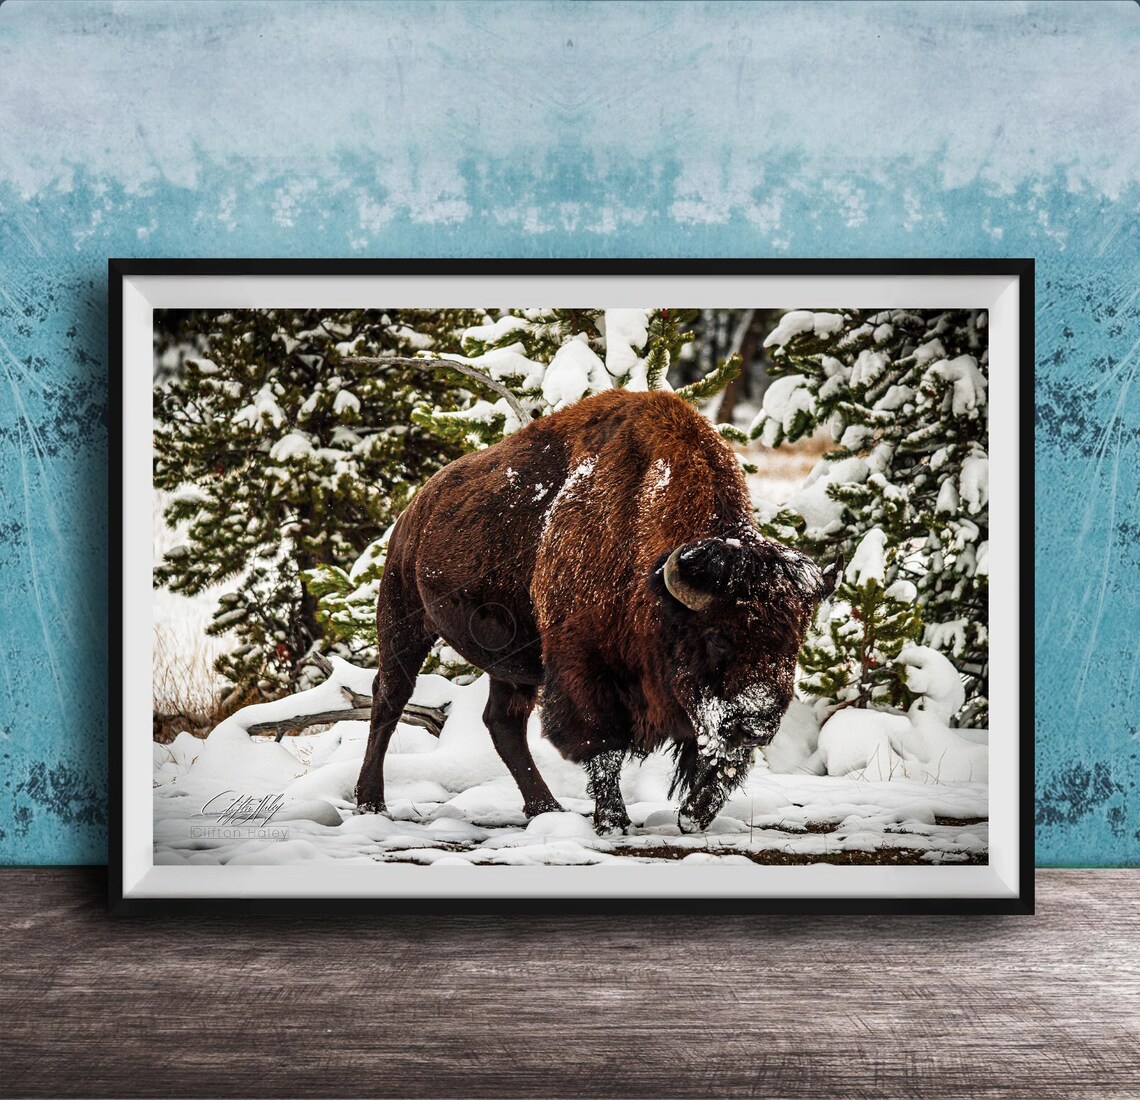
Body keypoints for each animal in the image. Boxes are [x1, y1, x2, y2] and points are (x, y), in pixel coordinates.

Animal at [355, 389, 839, 834]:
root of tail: (415, 509)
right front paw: (613, 821)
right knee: (389, 699)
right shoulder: (584, 669)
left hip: (508, 662)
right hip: (404, 625)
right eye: (718, 636)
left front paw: (693, 816)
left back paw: (545, 808)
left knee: (502, 722)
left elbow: (719, 758)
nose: (759, 720)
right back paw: (370, 803)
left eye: (795, 641)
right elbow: (602, 747)